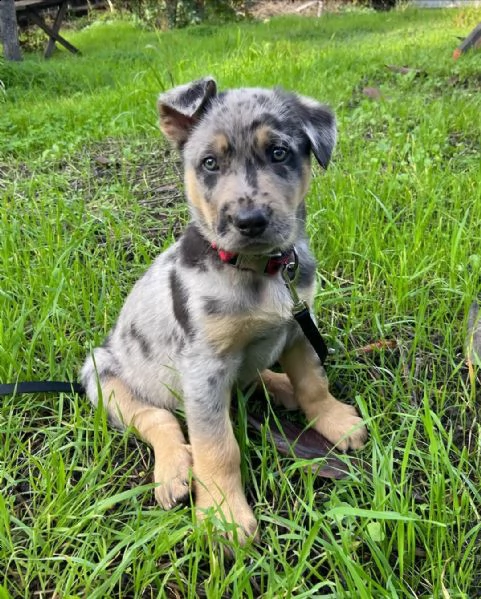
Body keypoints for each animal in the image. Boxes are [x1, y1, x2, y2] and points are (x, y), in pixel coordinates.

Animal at [81, 78, 368, 544]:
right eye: (210, 163)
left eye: (279, 153)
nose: (249, 221)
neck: (259, 270)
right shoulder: (205, 366)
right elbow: (216, 446)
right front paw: (222, 514)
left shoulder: (298, 326)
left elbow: (313, 382)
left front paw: (334, 420)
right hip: (101, 375)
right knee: (158, 419)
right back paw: (174, 471)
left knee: (255, 376)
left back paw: (279, 386)